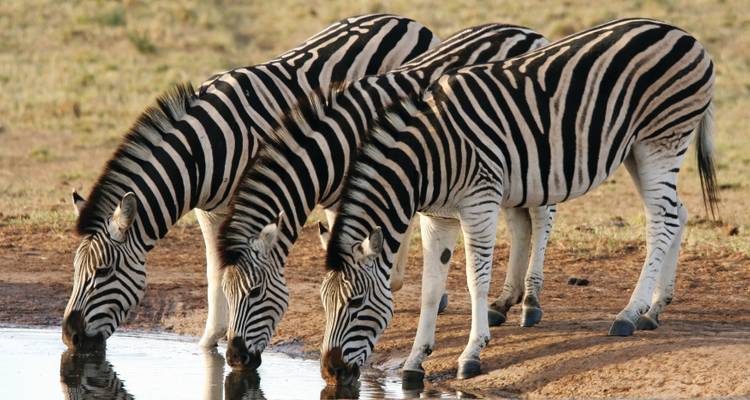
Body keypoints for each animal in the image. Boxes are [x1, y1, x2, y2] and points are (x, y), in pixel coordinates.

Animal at [61, 14, 440, 351]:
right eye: (75, 270)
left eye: (104, 271)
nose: (70, 336)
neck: (203, 150)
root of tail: (409, 21)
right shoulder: (209, 211)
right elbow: (214, 271)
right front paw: (210, 340)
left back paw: (398, 278)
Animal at [216, 24, 551, 372]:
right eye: (226, 292)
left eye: (255, 292)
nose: (235, 358)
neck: (336, 146)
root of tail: (525, 30)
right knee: (520, 223)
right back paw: (504, 302)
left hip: (534, 149)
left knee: (541, 216)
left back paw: (530, 302)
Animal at [320, 18, 716, 383]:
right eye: (324, 302)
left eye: (355, 303)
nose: (330, 372)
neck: (428, 158)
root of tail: (685, 35)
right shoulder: (438, 217)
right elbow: (431, 288)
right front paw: (416, 361)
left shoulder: (480, 202)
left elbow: (474, 279)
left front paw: (472, 352)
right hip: (636, 149)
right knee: (677, 213)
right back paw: (655, 308)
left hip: (660, 141)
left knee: (661, 221)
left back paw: (630, 314)